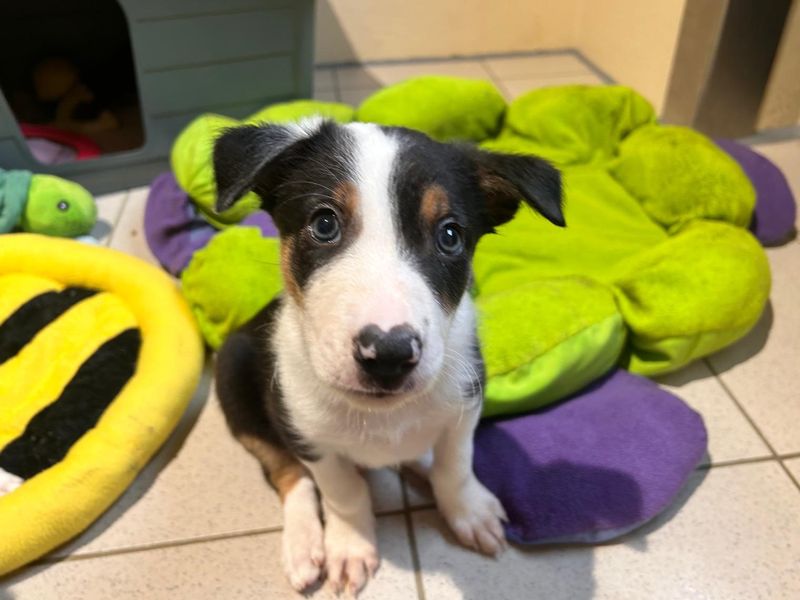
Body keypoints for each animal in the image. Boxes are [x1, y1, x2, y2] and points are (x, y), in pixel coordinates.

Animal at [212, 119, 564, 596]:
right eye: (324, 224)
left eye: (450, 235)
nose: (388, 355)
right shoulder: (307, 433)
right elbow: (342, 493)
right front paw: (350, 547)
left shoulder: (465, 403)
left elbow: (456, 464)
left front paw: (468, 511)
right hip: (234, 379)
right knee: (288, 474)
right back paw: (303, 545)